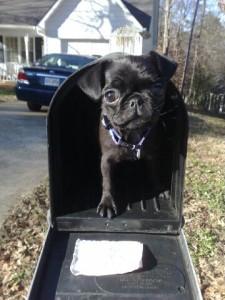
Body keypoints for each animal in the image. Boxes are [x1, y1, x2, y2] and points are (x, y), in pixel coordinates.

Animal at [78, 52, 178, 218]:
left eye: (158, 88)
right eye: (110, 95)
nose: (136, 100)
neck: (132, 134)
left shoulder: (152, 156)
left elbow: (154, 173)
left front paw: (159, 188)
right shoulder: (106, 161)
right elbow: (107, 182)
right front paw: (107, 203)